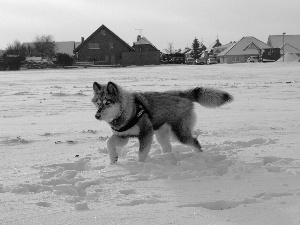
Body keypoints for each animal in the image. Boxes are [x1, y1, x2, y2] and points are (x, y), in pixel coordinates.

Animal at [92, 81, 233, 163]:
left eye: (107, 103)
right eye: (97, 103)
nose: (96, 116)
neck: (128, 110)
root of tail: (180, 93)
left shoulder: (146, 133)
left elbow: (142, 154)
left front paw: (140, 165)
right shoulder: (123, 135)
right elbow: (109, 142)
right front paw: (113, 158)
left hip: (179, 133)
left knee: (195, 142)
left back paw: (200, 157)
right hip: (161, 134)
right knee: (168, 147)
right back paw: (168, 158)